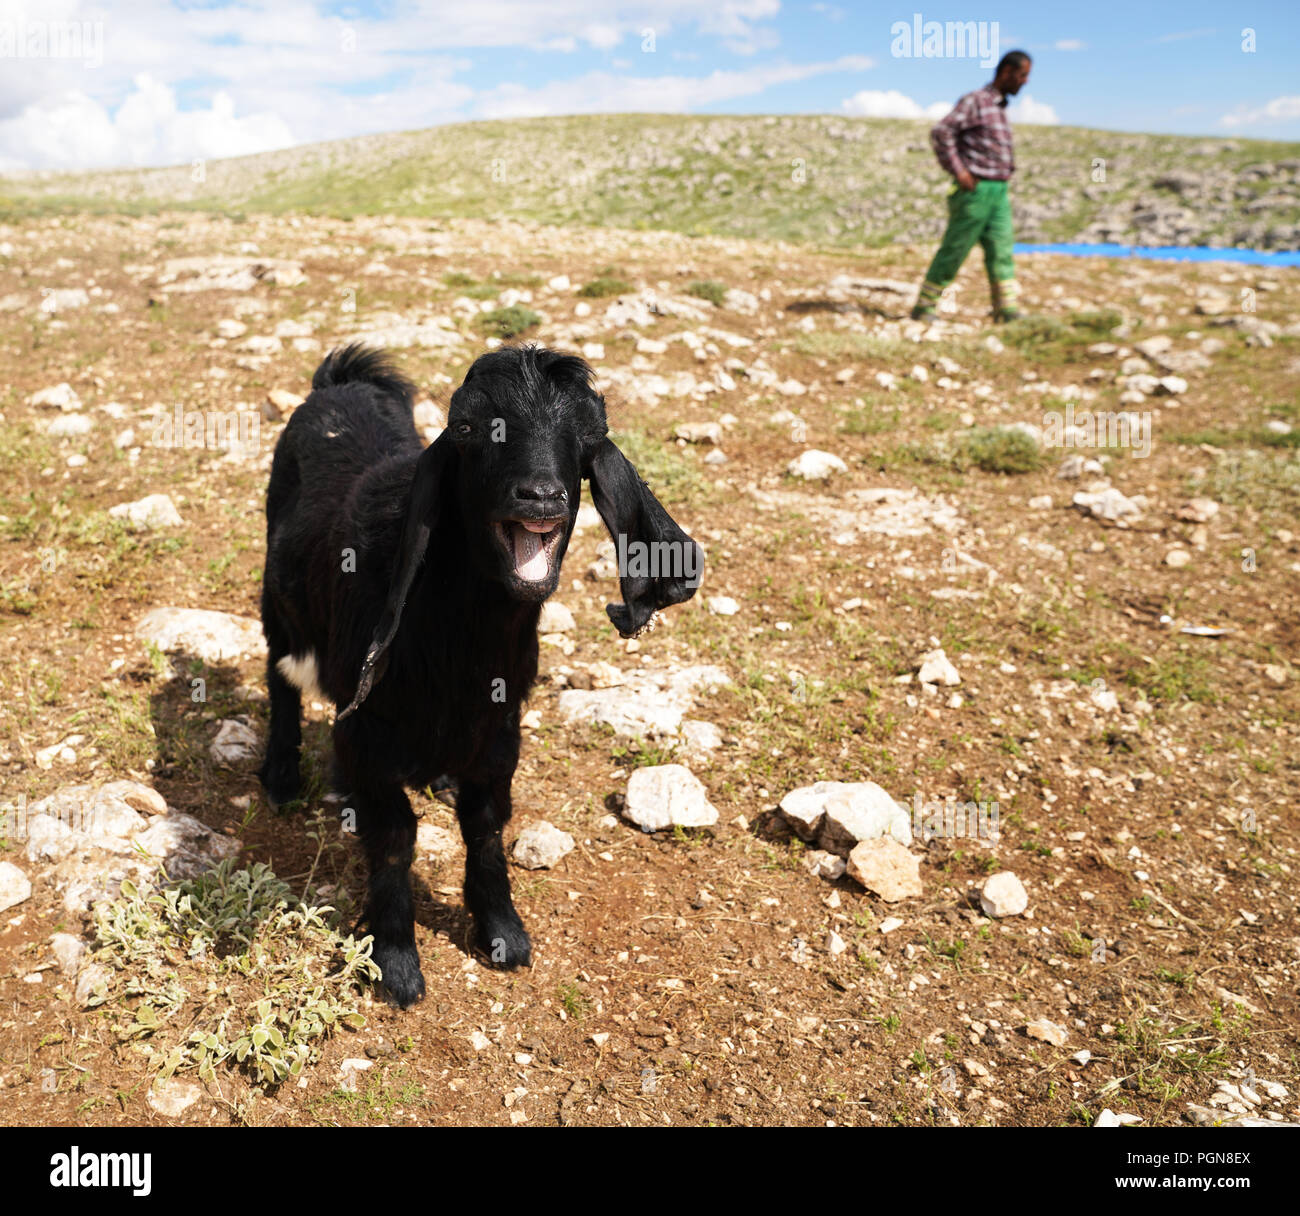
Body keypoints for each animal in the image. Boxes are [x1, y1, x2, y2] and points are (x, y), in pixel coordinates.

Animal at [258, 343, 703, 1007]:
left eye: (589, 438)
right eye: (468, 430)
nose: (540, 496)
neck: (460, 641)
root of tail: (340, 381)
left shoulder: (501, 723)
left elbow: (487, 824)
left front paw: (502, 932)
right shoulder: (369, 727)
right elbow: (393, 838)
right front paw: (396, 961)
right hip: (278, 601)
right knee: (280, 673)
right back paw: (282, 775)